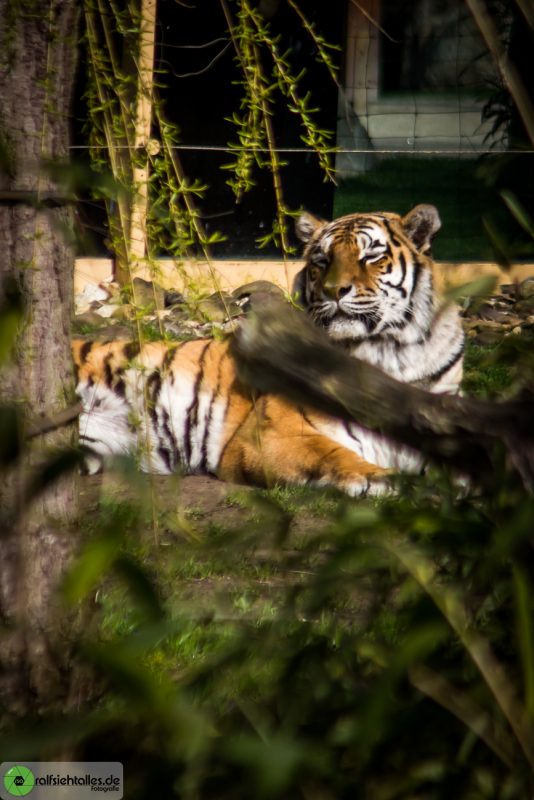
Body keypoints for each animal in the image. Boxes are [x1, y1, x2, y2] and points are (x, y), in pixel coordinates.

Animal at [73, 203, 466, 496]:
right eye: (322, 260)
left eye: (370, 256)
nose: (334, 291)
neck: (390, 351)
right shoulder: (269, 435)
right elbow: (333, 454)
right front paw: (381, 478)